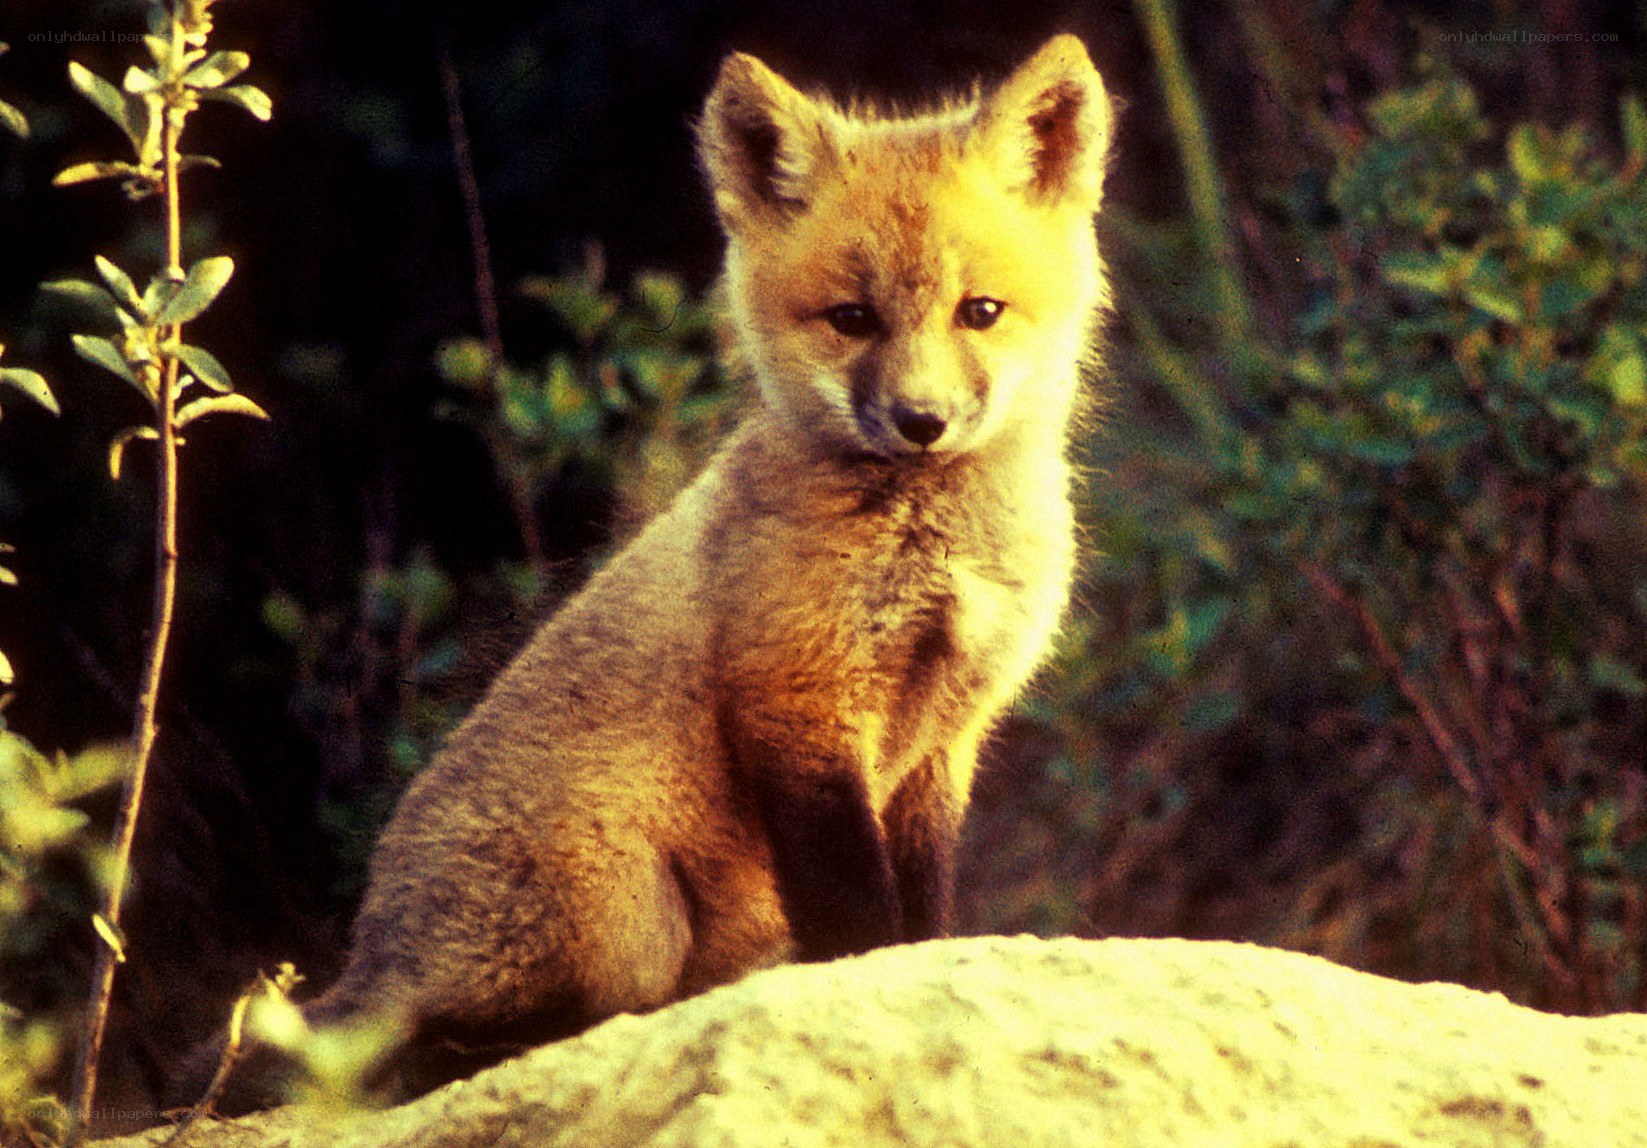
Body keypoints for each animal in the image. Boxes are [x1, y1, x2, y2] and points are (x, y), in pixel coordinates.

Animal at [180, 33, 1115, 1111]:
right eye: (851, 319)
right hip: (626, 917)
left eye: (981, 312)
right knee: (437, 1047)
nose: (921, 420)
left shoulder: (945, 735)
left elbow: (923, 911)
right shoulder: (797, 703)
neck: (931, 552)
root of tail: (373, 942)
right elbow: (855, 918)